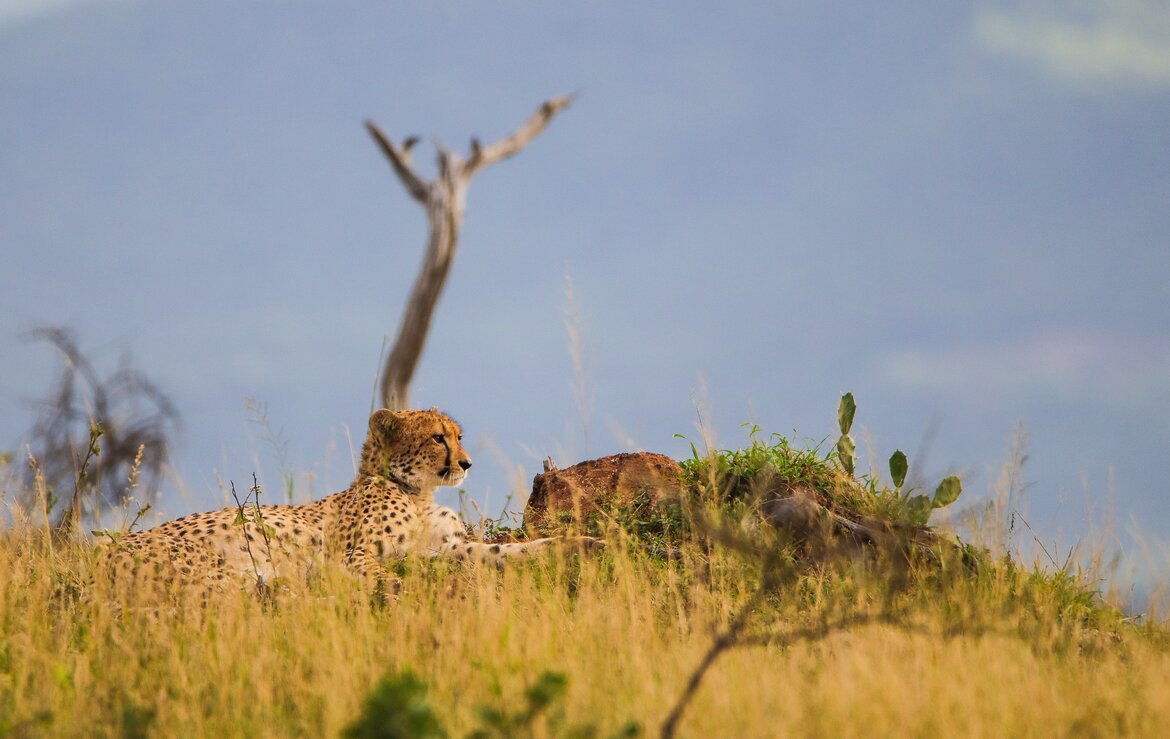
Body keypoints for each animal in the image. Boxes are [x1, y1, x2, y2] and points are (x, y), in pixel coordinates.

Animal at [102, 409, 603, 594]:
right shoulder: (354, 555)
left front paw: (582, 544)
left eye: (458, 435)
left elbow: (507, 551)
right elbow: (385, 575)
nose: (466, 463)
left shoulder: (448, 548)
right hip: (212, 568)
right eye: (437, 438)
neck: (416, 491)